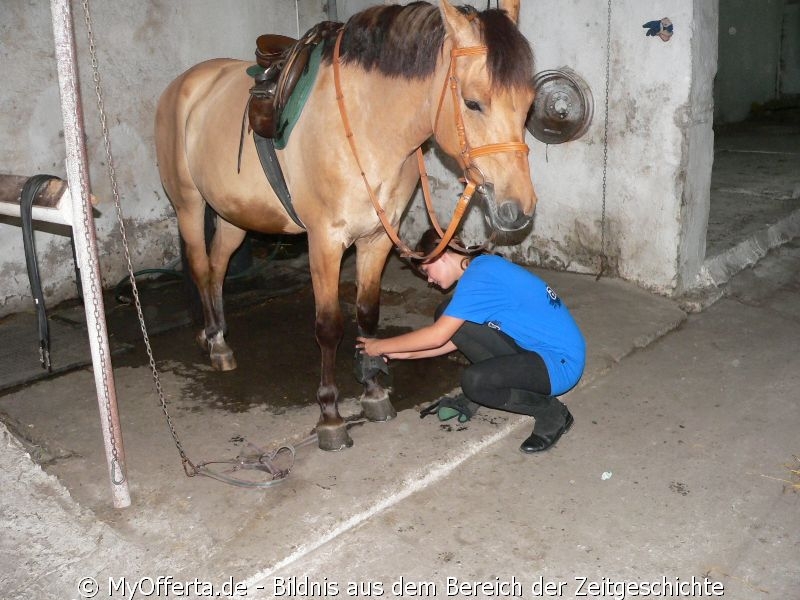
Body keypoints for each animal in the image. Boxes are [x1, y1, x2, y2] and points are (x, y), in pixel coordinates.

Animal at [153, 0, 536, 450]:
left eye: (529, 104)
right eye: (474, 103)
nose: (519, 209)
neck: (367, 128)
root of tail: (185, 84)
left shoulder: (376, 239)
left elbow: (367, 315)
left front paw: (373, 391)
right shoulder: (325, 242)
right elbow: (329, 326)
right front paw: (330, 415)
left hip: (233, 214)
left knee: (216, 267)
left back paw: (220, 339)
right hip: (189, 205)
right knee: (199, 266)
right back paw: (214, 342)